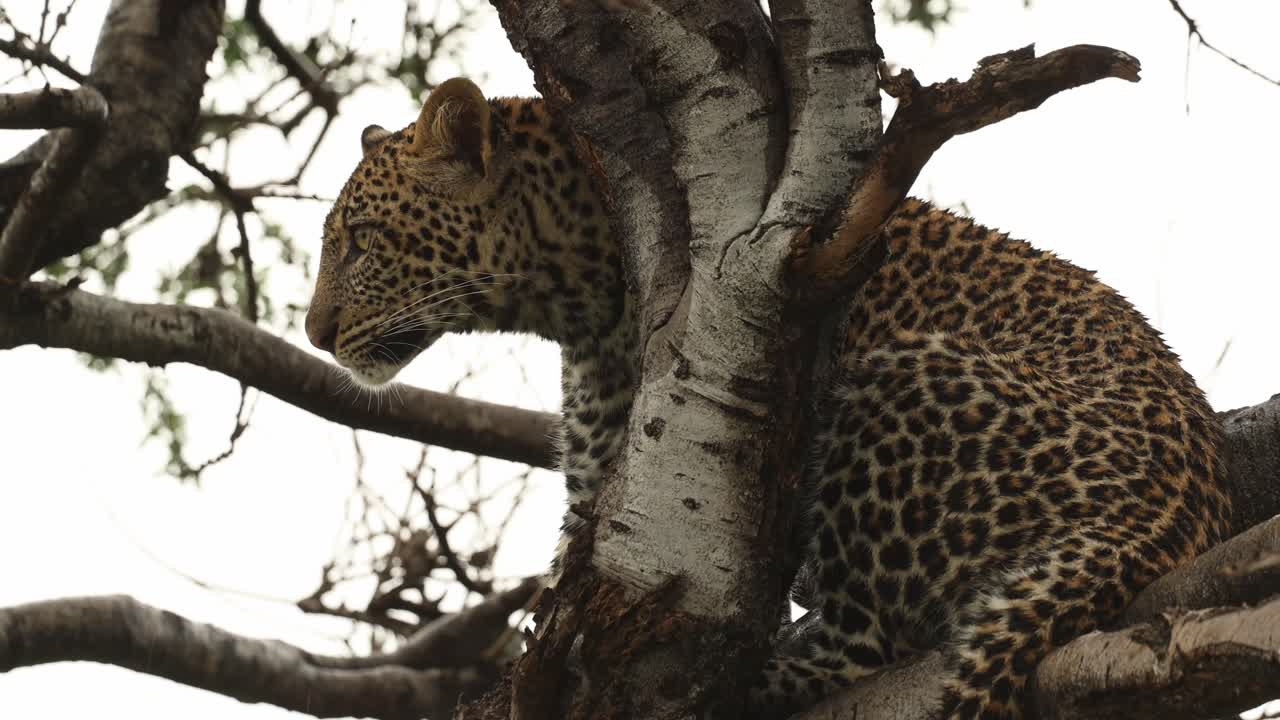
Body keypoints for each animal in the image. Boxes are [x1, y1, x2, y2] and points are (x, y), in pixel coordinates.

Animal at [303, 77, 1231, 720]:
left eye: (360, 242)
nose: (314, 331)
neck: (577, 286)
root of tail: (1169, 520)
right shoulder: (601, 466)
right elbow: (570, 568)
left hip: (890, 388)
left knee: (869, 641)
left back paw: (759, 676)